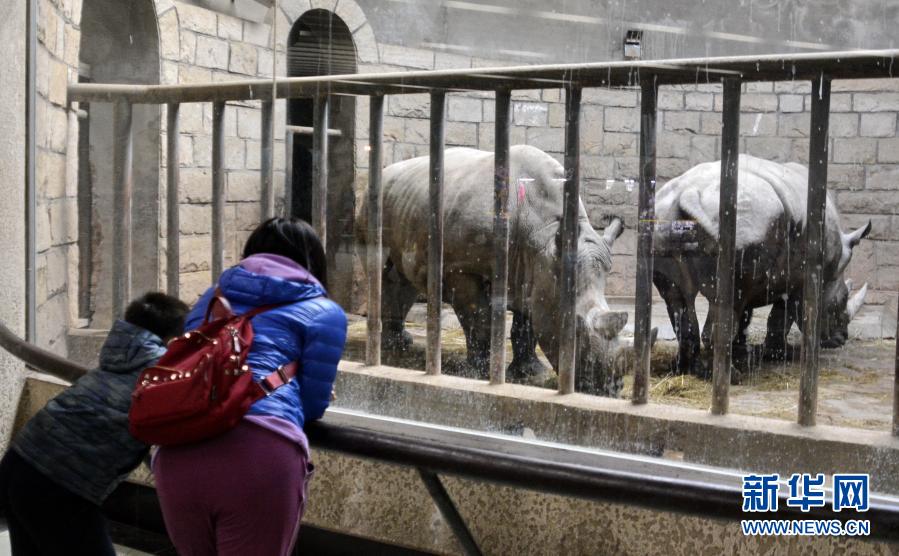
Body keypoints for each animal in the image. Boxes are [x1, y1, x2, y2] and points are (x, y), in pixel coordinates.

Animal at [356, 144, 628, 396]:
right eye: (576, 328)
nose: (609, 389)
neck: (544, 234)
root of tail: (386, 171)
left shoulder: (536, 271)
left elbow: (527, 324)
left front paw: (530, 373)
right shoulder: (462, 270)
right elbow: (479, 318)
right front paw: (476, 373)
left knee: (403, 280)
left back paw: (399, 343)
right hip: (372, 203)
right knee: (381, 272)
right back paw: (391, 346)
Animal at [652, 154, 872, 376]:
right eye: (842, 299)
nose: (841, 338)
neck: (833, 271)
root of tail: (688, 192)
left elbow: (746, 314)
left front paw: (742, 351)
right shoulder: (798, 281)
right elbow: (780, 316)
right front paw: (780, 354)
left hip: (668, 220)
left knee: (677, 297)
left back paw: (682, 369)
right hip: (744, 223)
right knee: (723, 300)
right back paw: (731, 376)